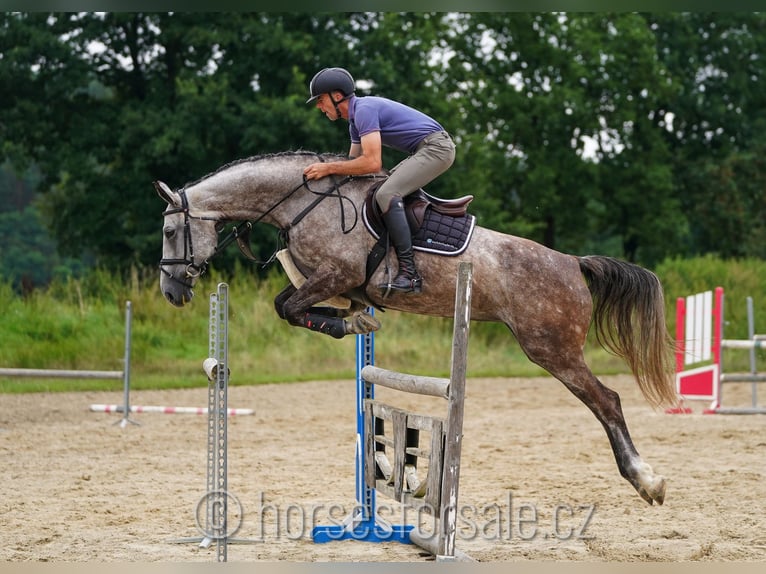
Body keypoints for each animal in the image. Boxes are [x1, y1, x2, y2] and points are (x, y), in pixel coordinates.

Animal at [154, 151, 680, 506]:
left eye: (169, 232)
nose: (171, 292)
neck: (302, 202)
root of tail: (573, 262)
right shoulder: (330, 282)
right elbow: (290, 305)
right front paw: (355, 319)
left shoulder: (336, 275)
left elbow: (287, 307)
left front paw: (348, 322)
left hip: (552, 349)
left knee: (606, 400)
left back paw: (647, 480)